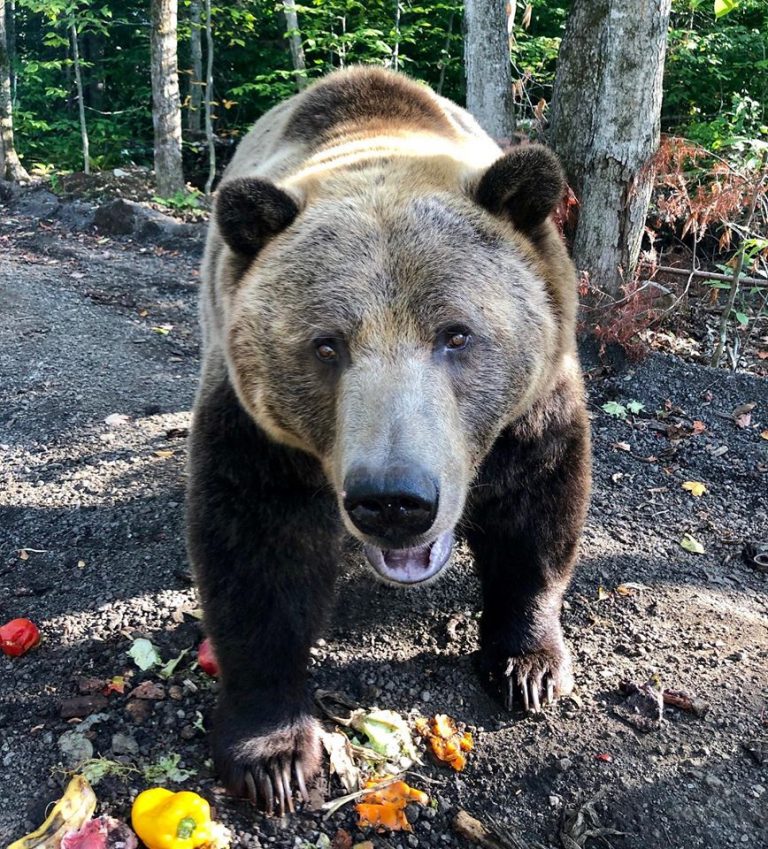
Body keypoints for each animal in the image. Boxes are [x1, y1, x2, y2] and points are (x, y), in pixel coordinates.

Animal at [184, 64, 588, 808]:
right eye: (326, 344)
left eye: (456, 334)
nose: (394, 500)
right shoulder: (257, 432)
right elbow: (256, 556)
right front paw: (273, 756)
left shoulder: (534, 406)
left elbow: (535, 514)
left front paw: (529, 665)